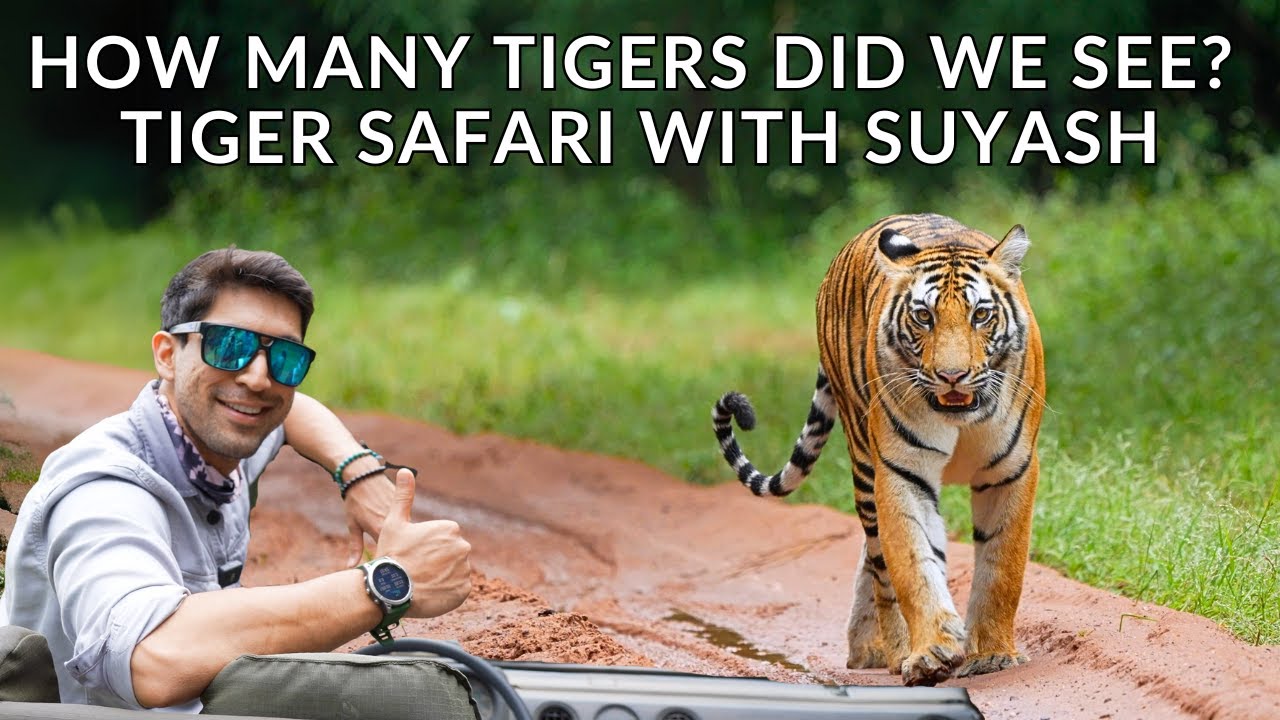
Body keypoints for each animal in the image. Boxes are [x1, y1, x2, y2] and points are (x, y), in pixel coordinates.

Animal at [712, 213, 1046, 686]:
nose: (952, 376)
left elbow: (1003, 567)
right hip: (865, 464)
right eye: (924, 316)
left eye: (980, 314)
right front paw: (931, 653)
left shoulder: (1011, 470)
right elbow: (913, 564)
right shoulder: (902, 472)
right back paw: (889, 650)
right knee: (878, 564)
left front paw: (993, 654)